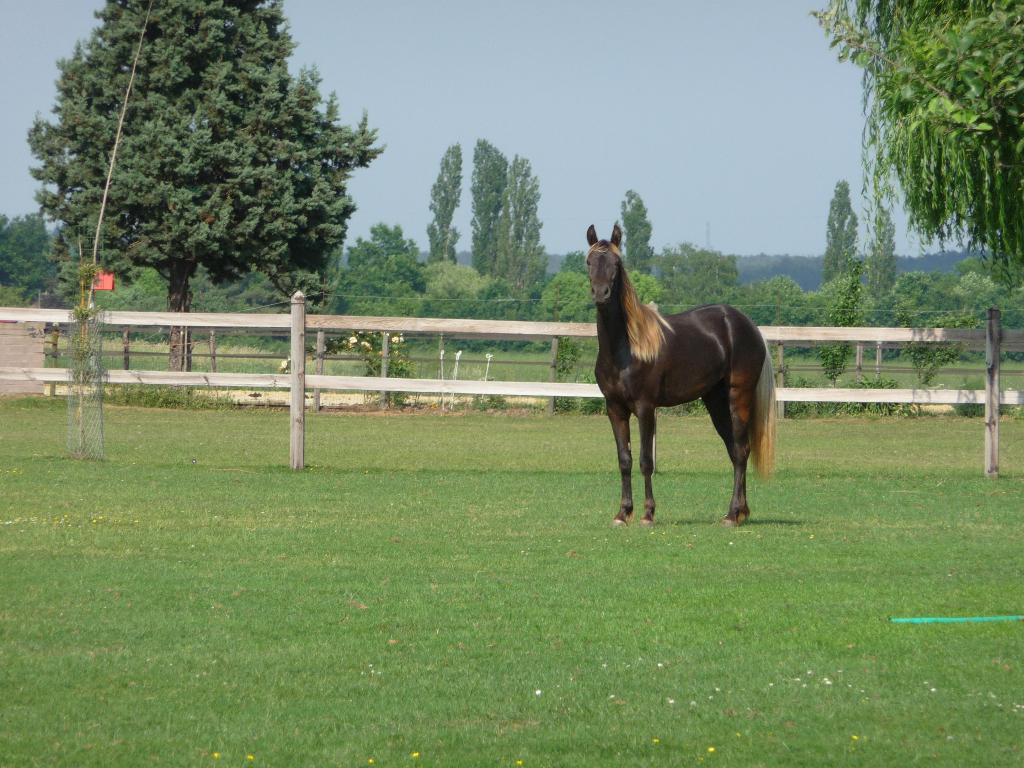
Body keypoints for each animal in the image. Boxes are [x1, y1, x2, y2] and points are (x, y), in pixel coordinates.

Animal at [586, 224, 776, 527]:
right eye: (589, 261)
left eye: (617, 263)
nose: (601, 293)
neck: (625, 348)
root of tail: (749, 327)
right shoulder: (614, 409)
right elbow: (625, 459)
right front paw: (622, 513)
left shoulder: (645, 408)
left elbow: (645, 461)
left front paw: (648, 514)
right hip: (715, 401)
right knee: (734, 450)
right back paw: (737, 512)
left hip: (738, 397)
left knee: (742, 450)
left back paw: (733, 514)